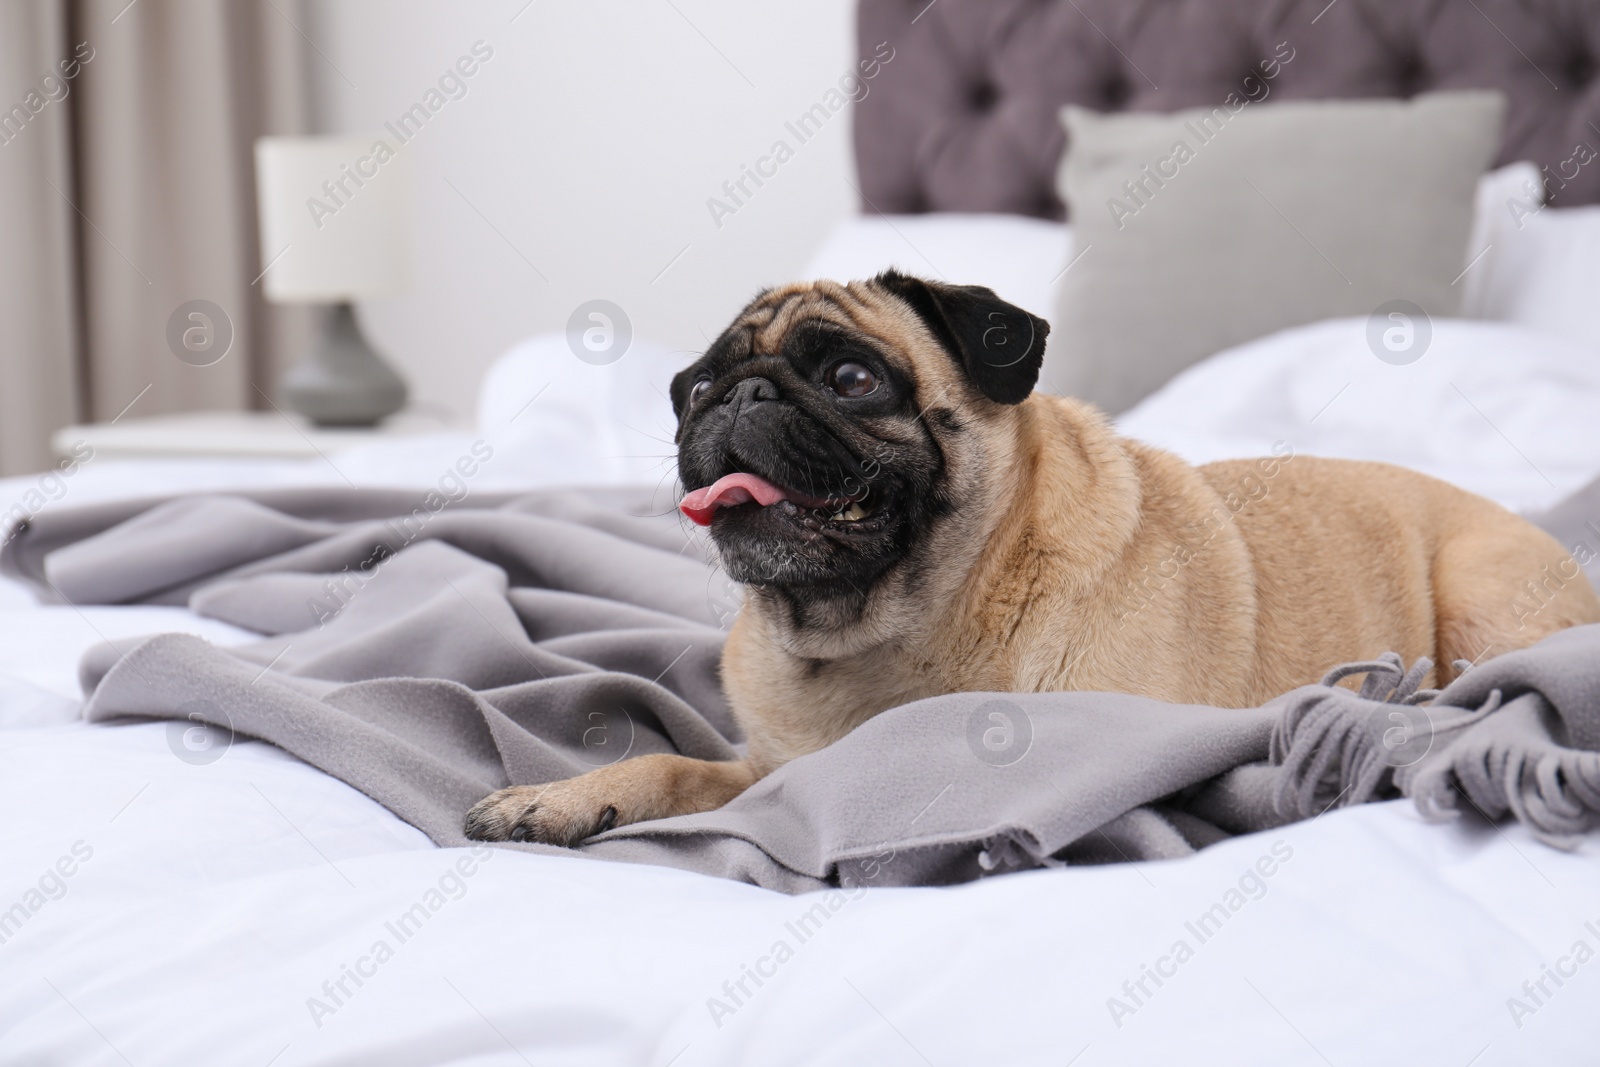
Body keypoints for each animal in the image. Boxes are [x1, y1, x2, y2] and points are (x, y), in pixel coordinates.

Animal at [464, 273, 1600, 844]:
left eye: (850, 376)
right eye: (695, 389)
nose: (738, 396)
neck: (882, 637)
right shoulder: (762, 769)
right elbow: (668, 762)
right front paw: (561, 795)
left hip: (1482, 591)